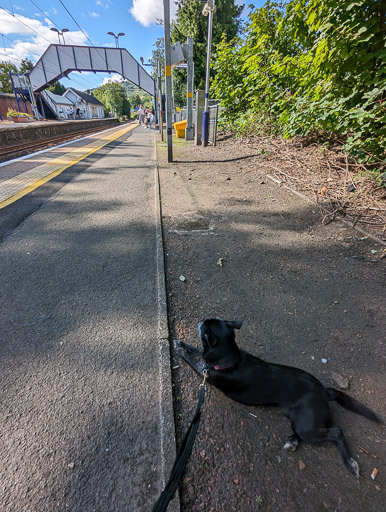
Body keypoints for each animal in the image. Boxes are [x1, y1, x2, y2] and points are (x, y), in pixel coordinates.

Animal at [179, 318, 382, 478]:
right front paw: (182, 344)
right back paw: (292, 442)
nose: (200, 320)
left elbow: (193, 360)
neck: (230, 359)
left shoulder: (205, 374)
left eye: (204, 327)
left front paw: (181, 352)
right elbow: (196, 350)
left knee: (336, 432)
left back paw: (350, 462)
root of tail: (324, 391)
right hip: (300, 421)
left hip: (306, 426)